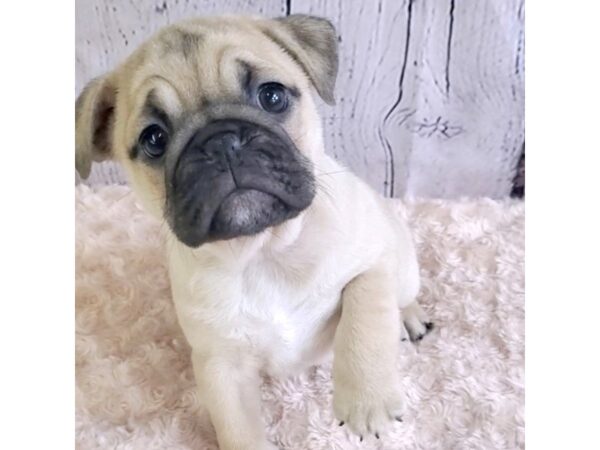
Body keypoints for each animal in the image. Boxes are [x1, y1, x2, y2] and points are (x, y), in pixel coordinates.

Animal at [76, 13, 432, 446]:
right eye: (154, 139)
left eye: (272, 97)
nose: (221, 142)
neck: (263, 250)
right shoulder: (221, 365)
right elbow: (239, 429)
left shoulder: (372, 261)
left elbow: (366, 317)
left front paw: (368, 403)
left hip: (404, 263)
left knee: (400, 296)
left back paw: (409, 317)